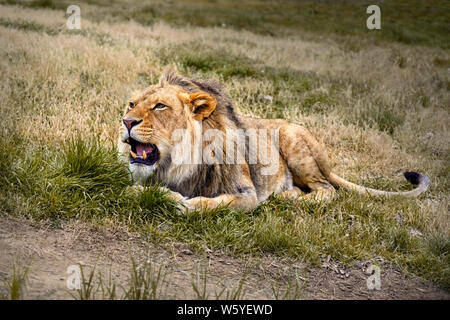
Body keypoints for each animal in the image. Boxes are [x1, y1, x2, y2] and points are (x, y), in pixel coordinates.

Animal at [118, 68, 430, 210]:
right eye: (131, 104)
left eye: (160, 106)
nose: (127, 122)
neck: (178, 163)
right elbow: (132, 191)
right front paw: (157, 194)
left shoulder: (246, 194)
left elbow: (211, 203)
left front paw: (181, 203)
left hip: (293, 140)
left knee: (327, 188)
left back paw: (290, 198)